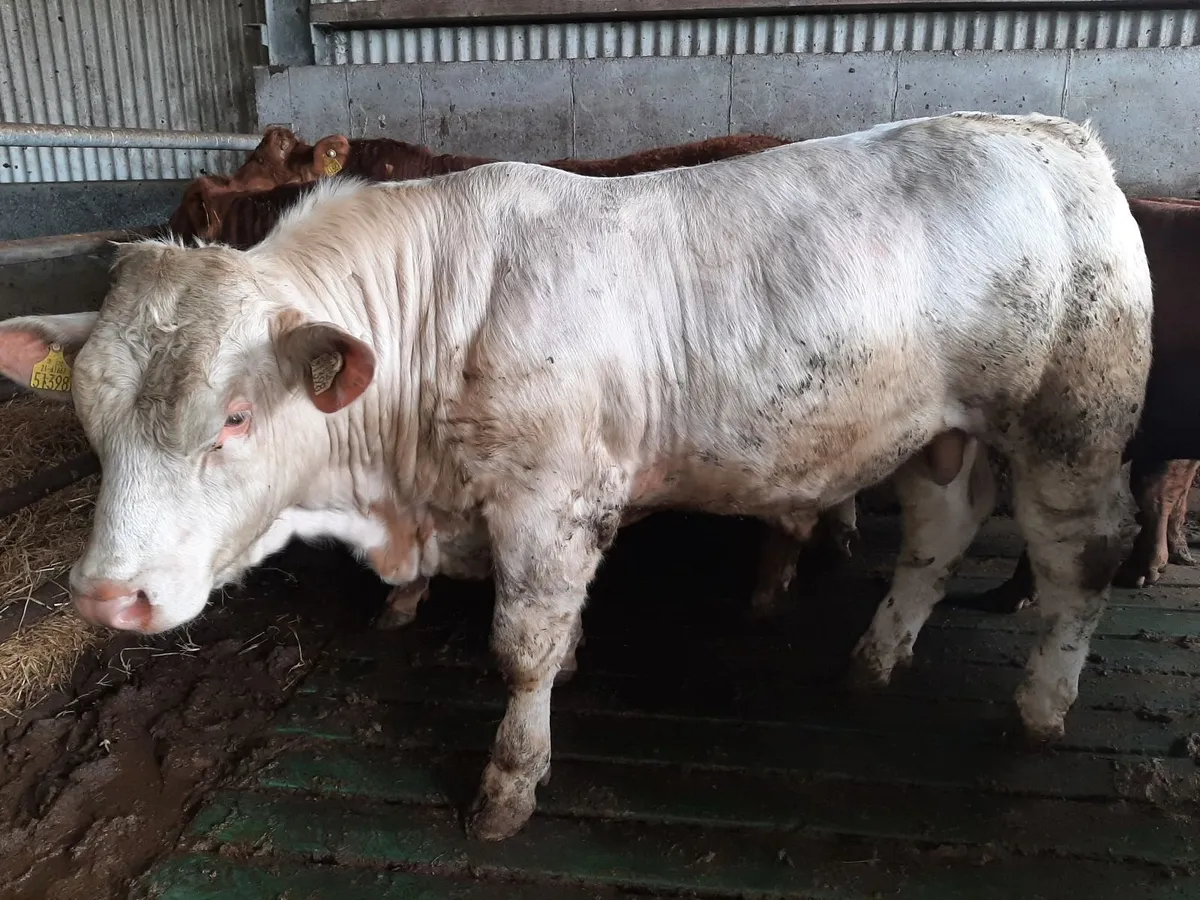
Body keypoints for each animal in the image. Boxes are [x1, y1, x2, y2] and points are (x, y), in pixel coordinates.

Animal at [0, 112, 1152, 844]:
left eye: (234, 418)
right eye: (92, 421)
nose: (107, 596)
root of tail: (1052, 135)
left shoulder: (549, 502)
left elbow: (520, 651)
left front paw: (507, 788)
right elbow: (553, 637)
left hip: (1071, 424)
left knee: (1079, 557)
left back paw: (1042, 705)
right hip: (936, 434)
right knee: (939, 532)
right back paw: (875, 659)